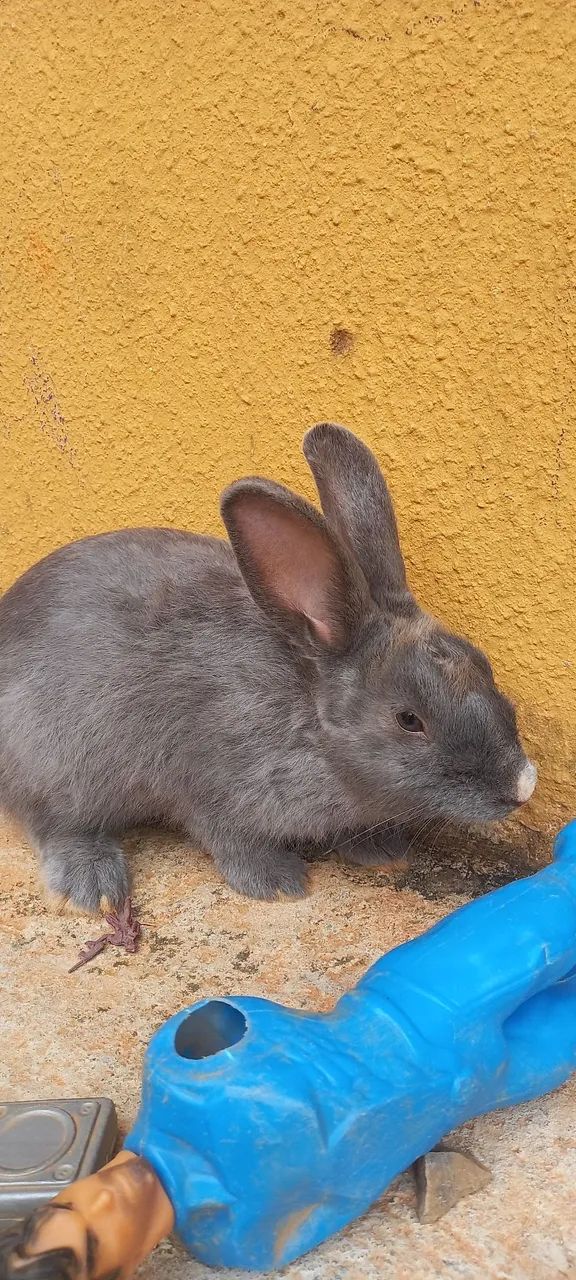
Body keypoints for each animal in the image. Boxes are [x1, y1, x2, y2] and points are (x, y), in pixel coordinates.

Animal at [0, 423, 536, 914]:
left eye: (482, 665)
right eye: (409, 720)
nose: (522, 785)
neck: (313, 729)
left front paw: (382, 852)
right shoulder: (211, 786)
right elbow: (230, 839)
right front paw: (279, 883)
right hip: (57, 763)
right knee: (53, 822)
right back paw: (94, 889)